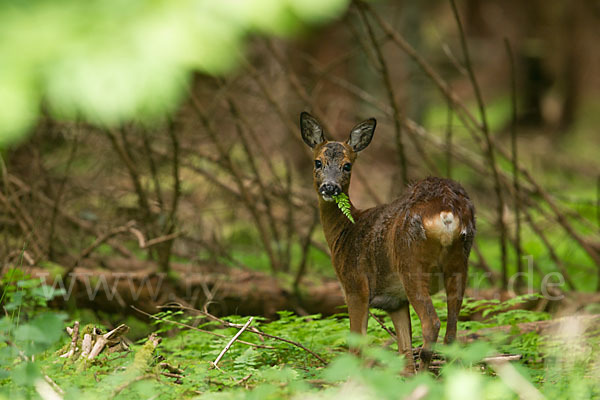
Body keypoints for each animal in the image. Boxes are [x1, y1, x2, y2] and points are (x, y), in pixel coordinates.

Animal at [298, 111, 474, 372]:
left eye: (347, 165)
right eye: (318, 162)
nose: (330, 187)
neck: (344, 233)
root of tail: (446, 211)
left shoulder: (355, 286)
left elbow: (357, 345)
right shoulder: (395, 302)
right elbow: (404, 349)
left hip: (410, 261)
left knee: (432, 323)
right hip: (459, 263)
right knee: (451, 330)